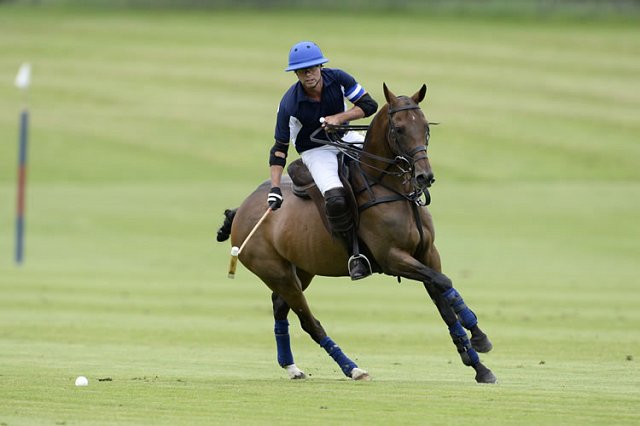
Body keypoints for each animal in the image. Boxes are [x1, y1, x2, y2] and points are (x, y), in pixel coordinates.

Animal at [217, 83, 497, 384]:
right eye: (398, 129)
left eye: (425, 127)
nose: (424, 177)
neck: (393, 189)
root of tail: (242, 209)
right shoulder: (392, 257)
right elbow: (444, 282)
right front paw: (478, 336)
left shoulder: (427, 253)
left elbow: (443, 298)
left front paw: (479, 363)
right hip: (276, 272)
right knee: (309, 321)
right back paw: (352, 368)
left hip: (301, 269)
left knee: (280, 307)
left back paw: (292, 367)